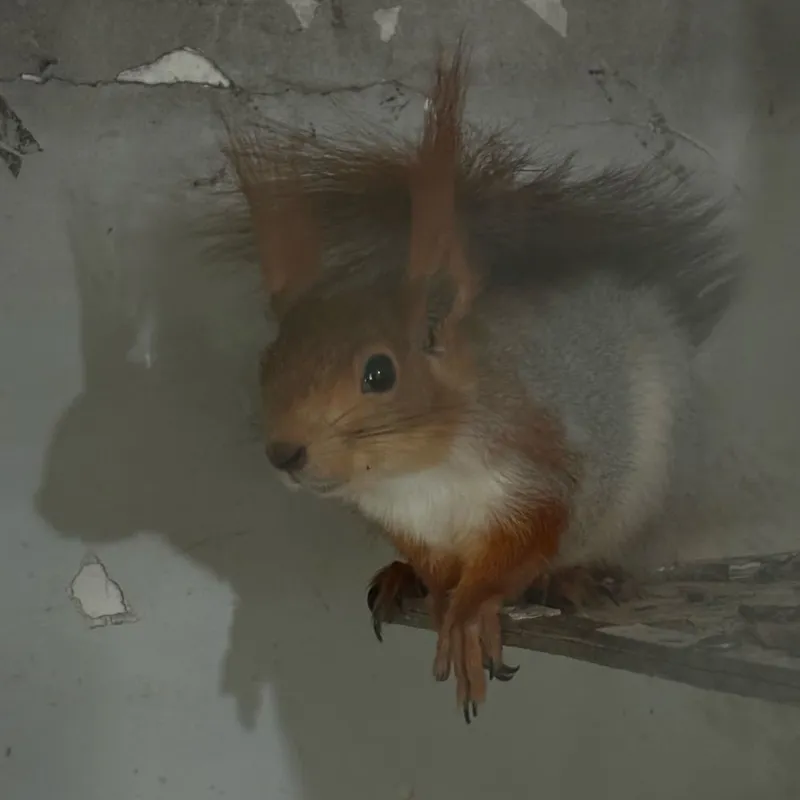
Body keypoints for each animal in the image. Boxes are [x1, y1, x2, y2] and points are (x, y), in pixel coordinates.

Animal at [216, 41, 740, 723]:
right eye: (267, 362)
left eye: (379, 372)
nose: (284, 453)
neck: (417, 475)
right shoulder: (408, 522)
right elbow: (438, 567)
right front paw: (434, 591)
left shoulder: (538, 471)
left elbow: (520, 548)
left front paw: (468, 613)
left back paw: (572, 577)